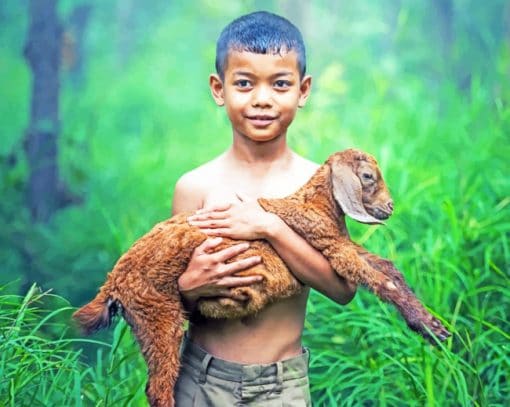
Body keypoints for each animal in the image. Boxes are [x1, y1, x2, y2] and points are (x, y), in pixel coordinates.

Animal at [72, 150, 450, 407]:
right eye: (368, 176)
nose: (390, 207)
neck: (315, 205)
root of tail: (113, 284)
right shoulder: (331, 248)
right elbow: (383, 282)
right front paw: (430, 327)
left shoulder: (342, 245)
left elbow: (389, 268)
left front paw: (431, 325)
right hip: (157, 314)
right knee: (158, 386)